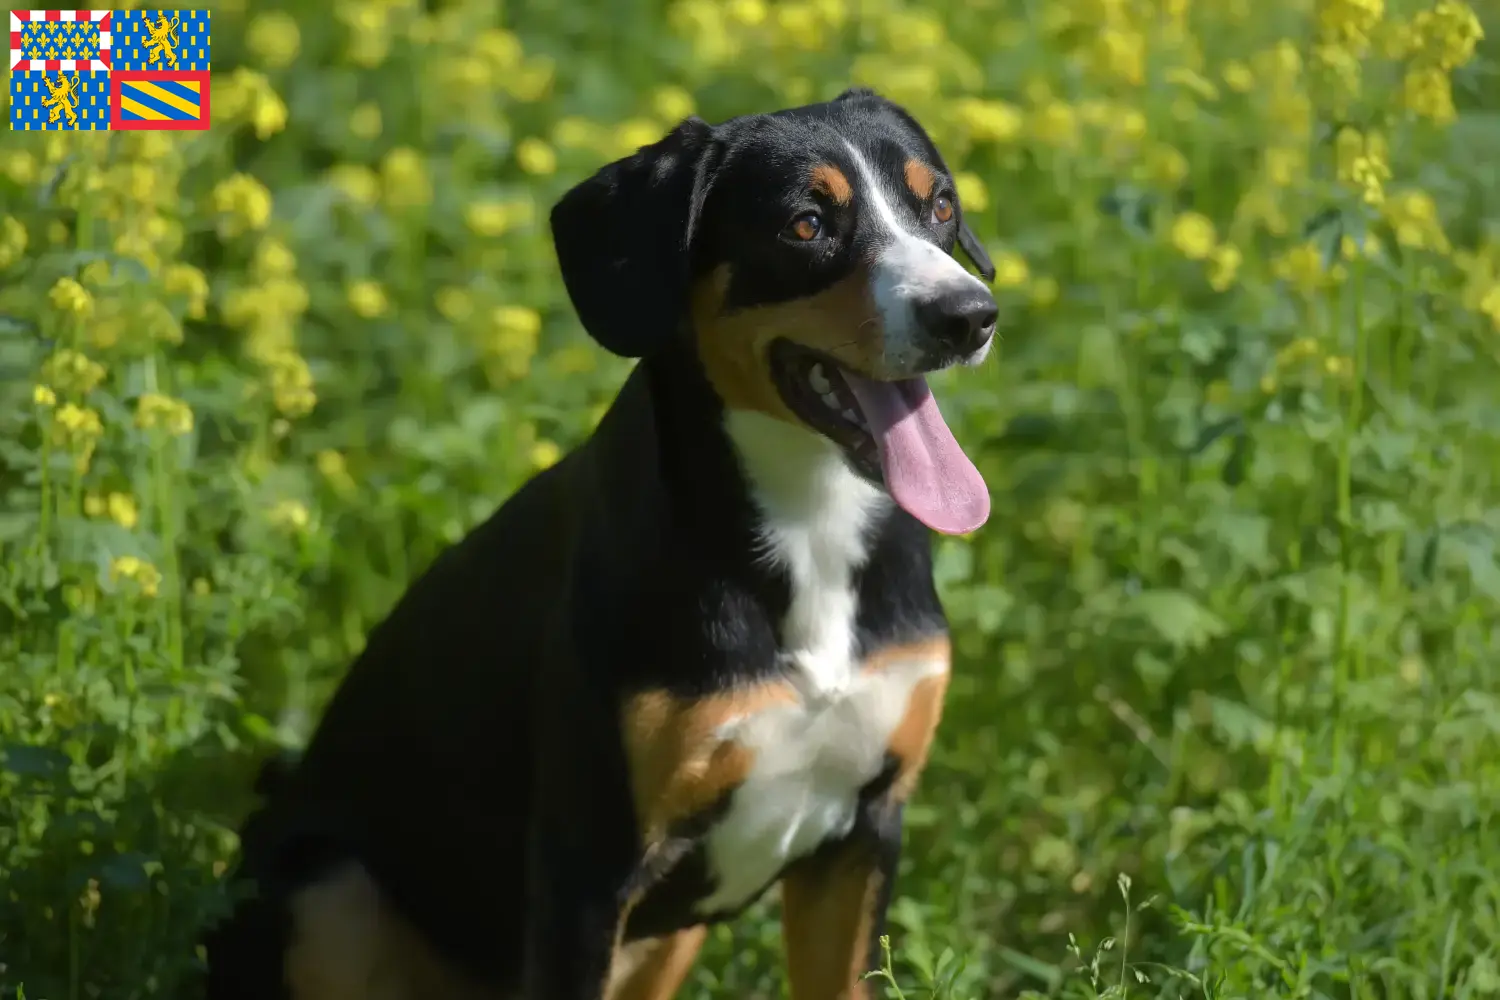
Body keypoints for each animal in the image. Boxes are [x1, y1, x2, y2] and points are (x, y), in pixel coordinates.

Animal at [199, 86, 996, 1000]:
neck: (811, 522)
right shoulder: (588, 869)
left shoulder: (863, 836)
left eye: (940, 205)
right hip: (328, 892)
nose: (970, 315)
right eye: (805, 224)